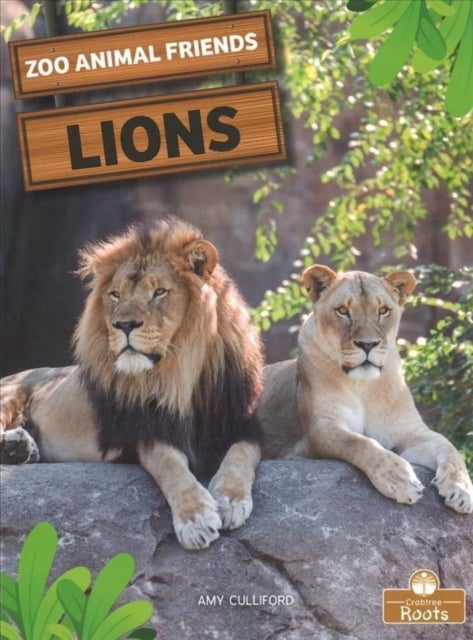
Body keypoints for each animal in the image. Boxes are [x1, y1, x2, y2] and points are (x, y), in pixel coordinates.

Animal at [0, 218, 264, 549]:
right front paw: (196, 519)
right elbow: (170, 467)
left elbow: (242, 454)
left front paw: (231, 499)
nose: (123, 324)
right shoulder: (147, 432)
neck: (181, 374)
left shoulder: (243, 423)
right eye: (115, 295)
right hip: (10, 394)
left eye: (159, 292)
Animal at [258, 265, 473, 514]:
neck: (364, 386)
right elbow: (361, 443)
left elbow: (449, 447)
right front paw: (401, 480)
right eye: (343, 311)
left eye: (383, 310)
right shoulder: (320, 430)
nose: (368, 344)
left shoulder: (409, 430)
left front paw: (462, 490)